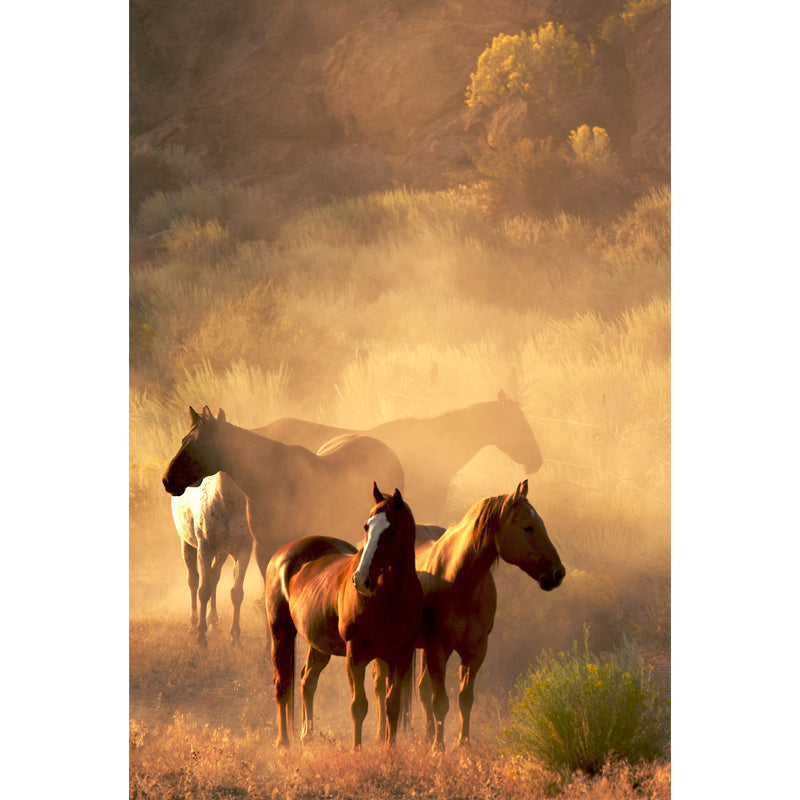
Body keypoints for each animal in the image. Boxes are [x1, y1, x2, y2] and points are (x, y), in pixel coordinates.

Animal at [162, 407, 406, 585]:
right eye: (183, 440)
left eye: (198, 444)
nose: (167, 480)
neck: (270, 483)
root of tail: (388, 451)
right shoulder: (263, 550)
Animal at [170, 471, 252, 644]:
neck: (228, 502)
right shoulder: (205, 549)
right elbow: (203, 590)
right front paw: (201, 634)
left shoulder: (243, 550)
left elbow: (236, 592)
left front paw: (235, 637)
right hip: (187, 545)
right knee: (193, 581)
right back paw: (193, 624)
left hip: (221, 553)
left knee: (214, 577)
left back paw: (213, 621)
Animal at [265, 482, 423, 750]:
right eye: (366, 527)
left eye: (393, 531)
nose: (361, 579)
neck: (390, 597)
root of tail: (281, 556)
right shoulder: (355, 655)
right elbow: (358, 706)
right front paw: (356, 750)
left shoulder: (399, 655)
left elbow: (392, 704)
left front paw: (389, 750)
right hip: (281, 632)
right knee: (282, 684)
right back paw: (282, 742)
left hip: (319, 646)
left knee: (307, 680)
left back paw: (307, 734)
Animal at [372, 479, 564, 750]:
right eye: (528, 527)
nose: (558, 573)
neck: (459, 581)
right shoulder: (438, 649)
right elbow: (441, 702)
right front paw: (438, 749)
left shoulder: (475, 651)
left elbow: (465, 699)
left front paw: (463, 746)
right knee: (381, 687)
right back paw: (382, 736)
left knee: (421, 689)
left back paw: (427, 736)